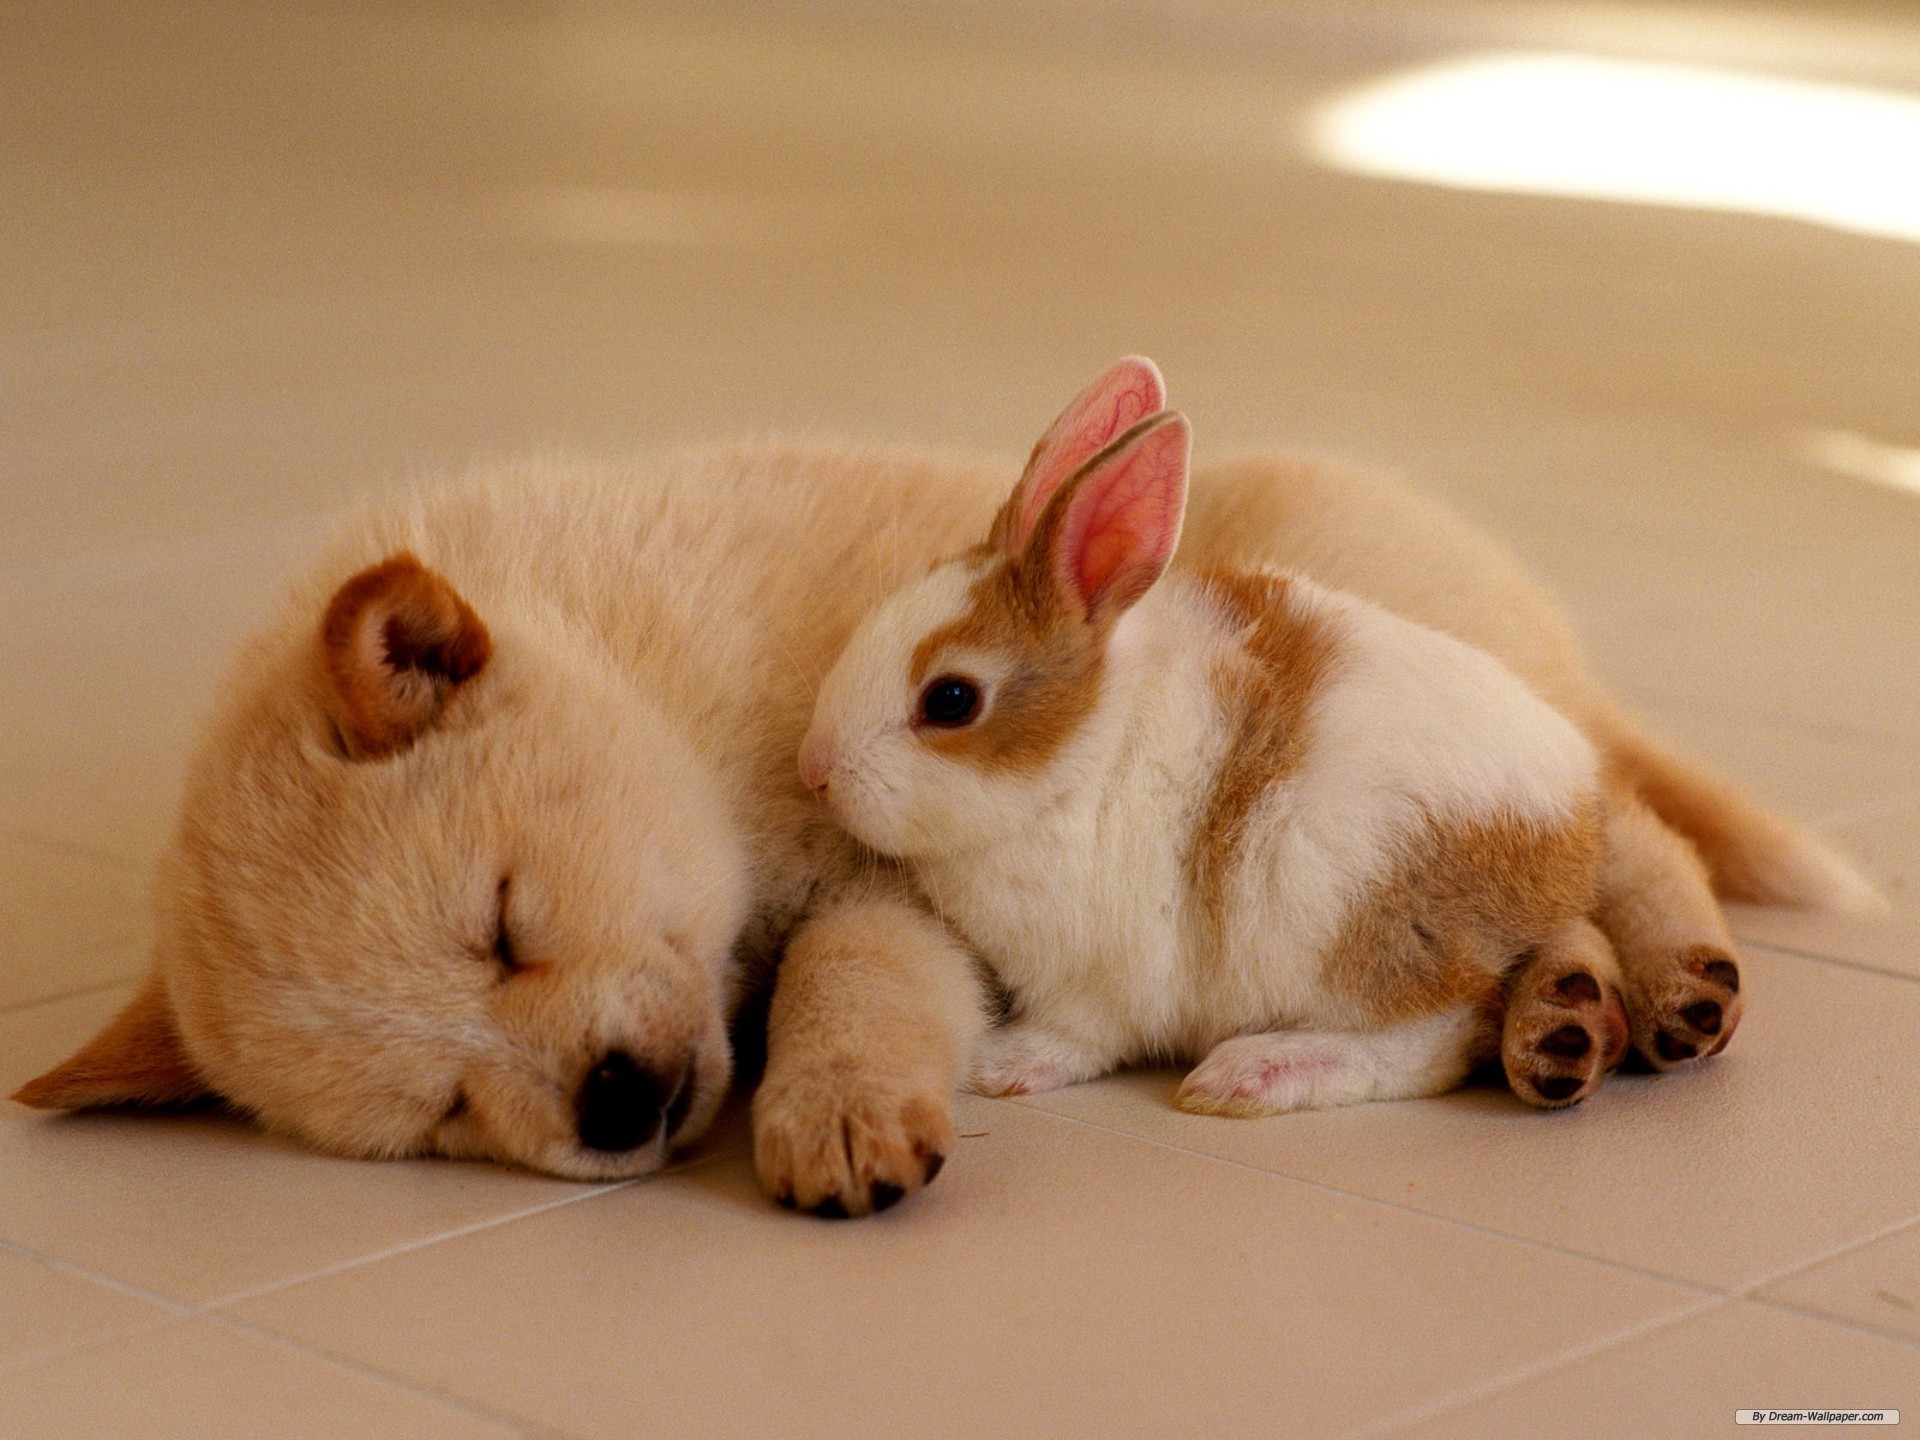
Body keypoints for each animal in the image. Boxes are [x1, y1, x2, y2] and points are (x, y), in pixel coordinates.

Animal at [801, 359, 1644, 1113]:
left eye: (950, 700)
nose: (816, 770)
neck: (1078, 761)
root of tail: (1574, 833)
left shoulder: (1099, 984)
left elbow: (1075, 1038)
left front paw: (997, 1067)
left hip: (1348, 926)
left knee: (1433, 1039)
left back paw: (1250, 1075)